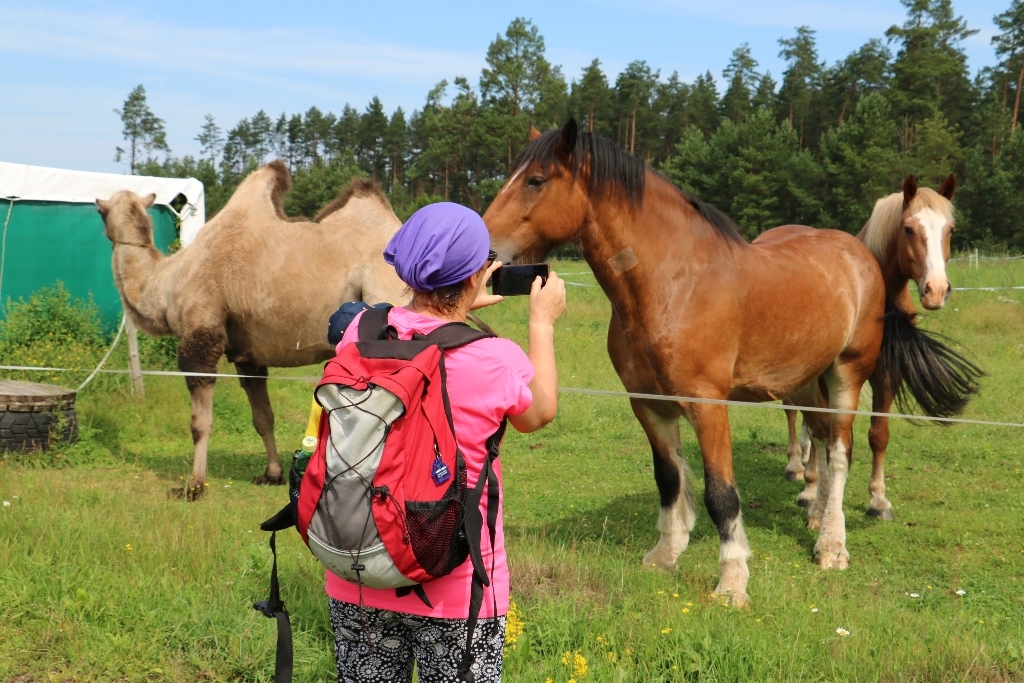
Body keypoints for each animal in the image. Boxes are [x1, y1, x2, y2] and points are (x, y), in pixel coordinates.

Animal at [96, 162, 407, 499]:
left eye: (100, 211)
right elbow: (263, 418)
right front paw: (272, 474)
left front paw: (193, 486)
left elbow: (200, 423)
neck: (167, 281)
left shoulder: (201, 335)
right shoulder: (248, 357)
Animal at [782, 174, 983, 520]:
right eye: (908, 229)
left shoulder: (887, 376)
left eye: (951, 230)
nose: (936, 290)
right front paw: (814, 491)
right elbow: (825, 433)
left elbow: (878, 435)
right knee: (795, 416)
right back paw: (799, 469)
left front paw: (878, 499)